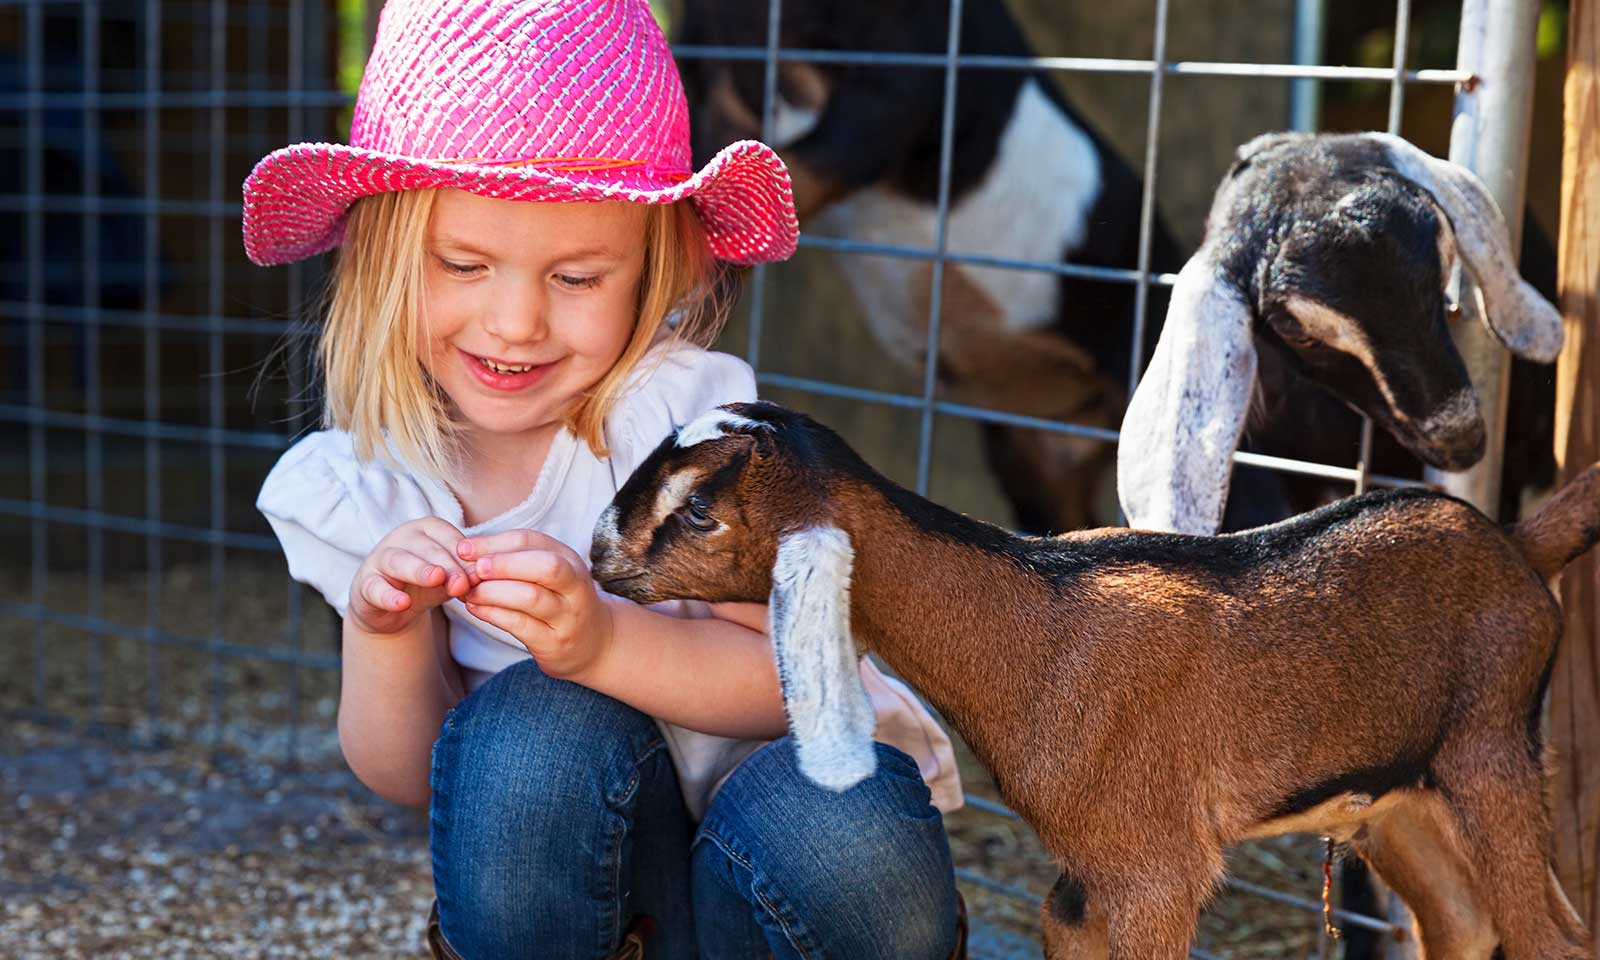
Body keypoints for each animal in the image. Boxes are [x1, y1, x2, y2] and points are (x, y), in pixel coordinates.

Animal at [592, 400, 1600, 960]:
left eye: (701, 509)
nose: (599, 555)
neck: (1042, 626)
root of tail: (1520, 547)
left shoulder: (1159, 868)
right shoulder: (1083, 875)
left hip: (1490, 748)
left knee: (1549, 936)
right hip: (1395, 795)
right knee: (1465, 923)